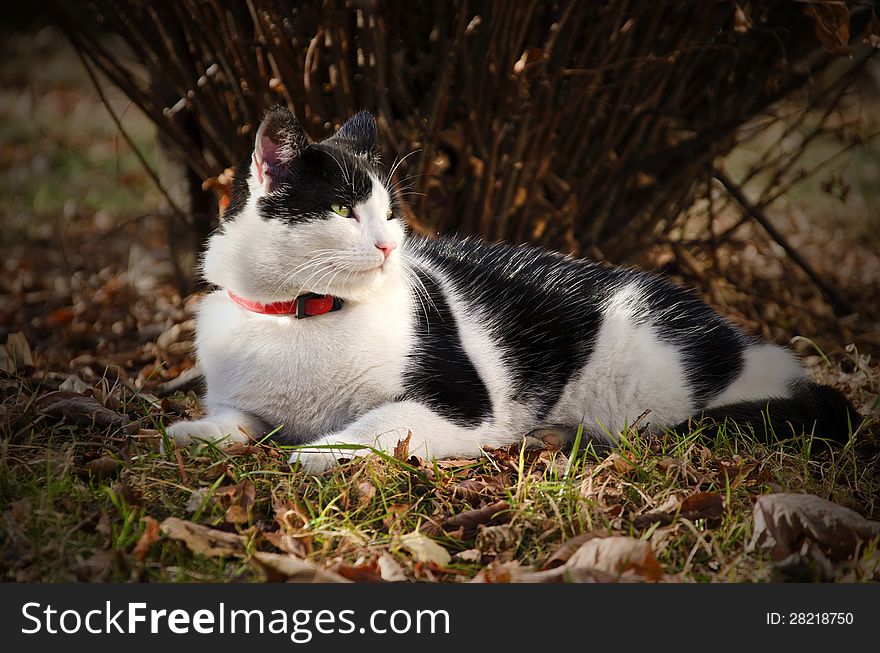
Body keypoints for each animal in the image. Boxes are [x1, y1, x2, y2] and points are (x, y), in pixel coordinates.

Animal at [165, 108, 860, 474]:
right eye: (340, 208)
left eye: (389, 213)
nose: (389, 245)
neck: (299, 317)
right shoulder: (243, 396)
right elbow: (237, 421)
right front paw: (196, 432)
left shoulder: (460, 405)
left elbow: (371, 427)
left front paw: (316, 451)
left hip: (657, 376)